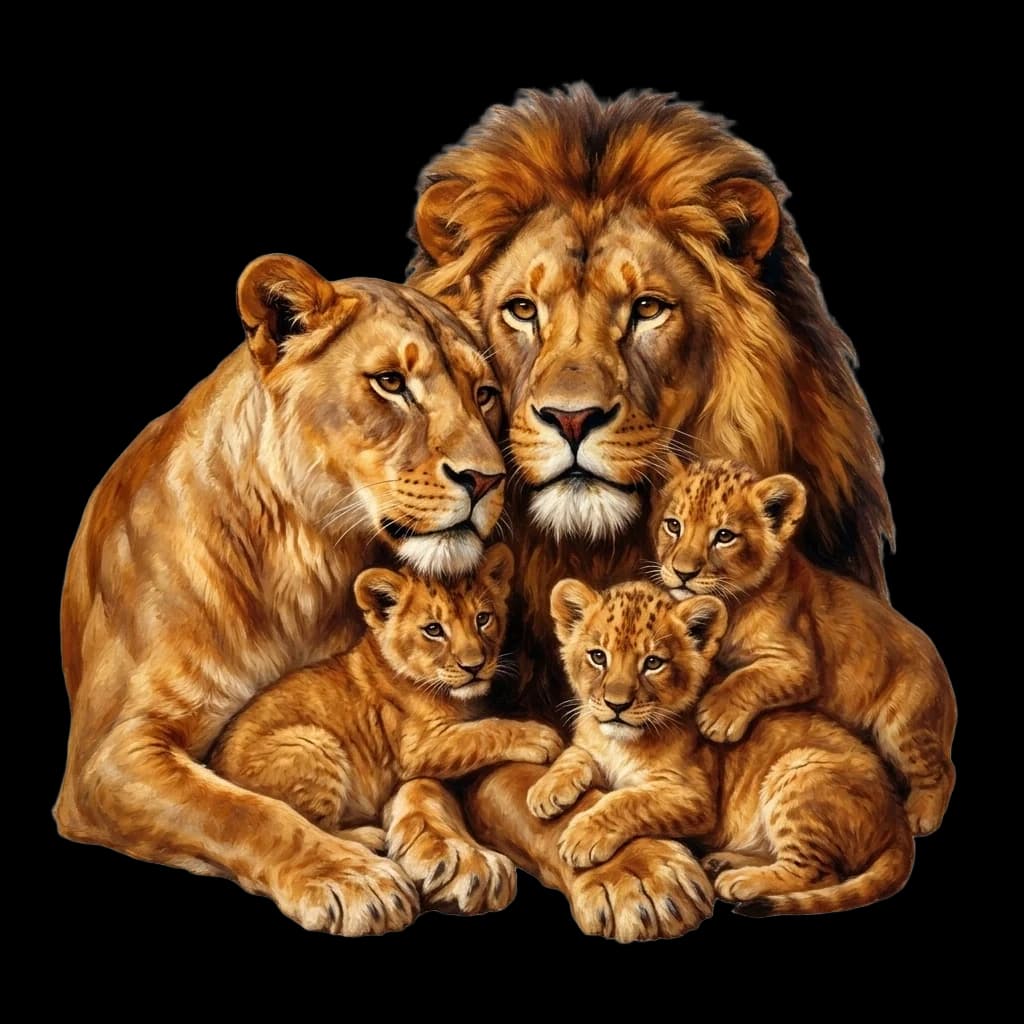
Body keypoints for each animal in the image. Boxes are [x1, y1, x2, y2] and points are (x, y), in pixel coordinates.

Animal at [55, 255, 511, 935]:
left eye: (485, 393)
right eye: (391, 383)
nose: (487, 479)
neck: (307, 562)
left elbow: (426, 778)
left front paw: (459, 853)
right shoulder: (108, 755)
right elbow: (238, 811)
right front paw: (349, 879)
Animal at [403, 85, 897, 940]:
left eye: (647, 309)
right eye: (521, 310)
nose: (571, 417)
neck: (593, 548)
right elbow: (518, 782)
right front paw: (639, 875)